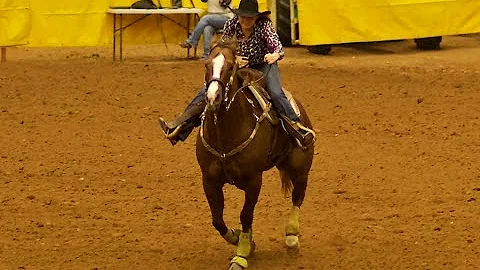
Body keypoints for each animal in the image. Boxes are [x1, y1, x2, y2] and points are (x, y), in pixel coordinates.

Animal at [195, 40, 316, 270]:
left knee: (298, 196)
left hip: (300, 166)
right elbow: (218, 220)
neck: (226, 135)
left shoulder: (253, 181)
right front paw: (241, 240)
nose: (213, 98)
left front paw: (241, 254)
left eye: (231, 66)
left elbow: (246, 215)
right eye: (206, 64)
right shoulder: (209, 180)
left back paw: (291, 236)